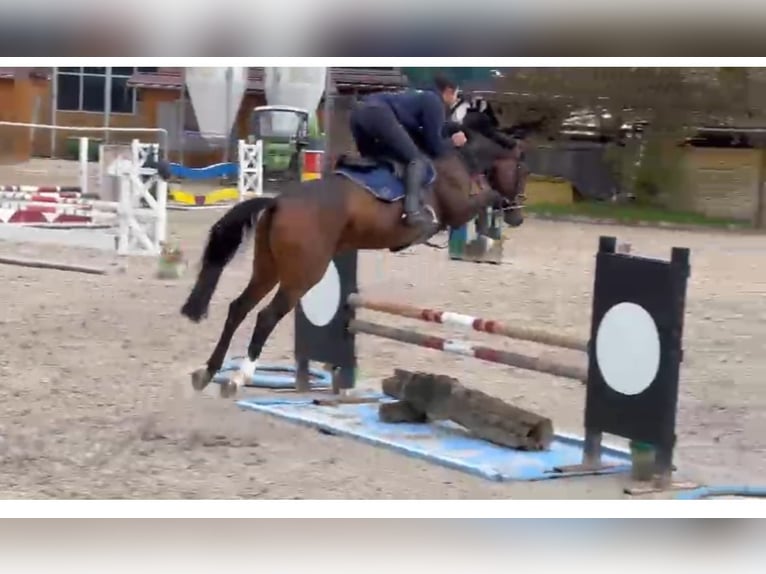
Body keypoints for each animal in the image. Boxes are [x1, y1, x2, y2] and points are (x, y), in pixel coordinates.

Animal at [182, 133, 528, 398]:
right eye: (521, 170)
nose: (518, 218)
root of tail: (278, 201)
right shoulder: (458, 210)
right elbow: (488, 198)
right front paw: (488, 228)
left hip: (268, 269)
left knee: (238, 308)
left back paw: (207, 372)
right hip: (303, 275)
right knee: (266, 316)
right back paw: (238, 378)